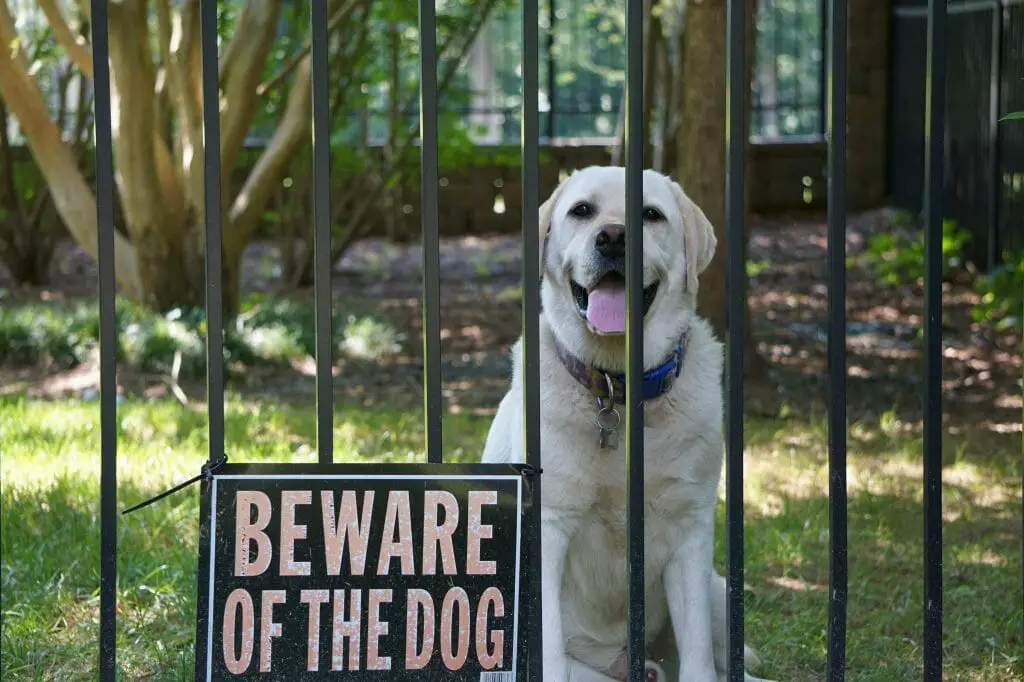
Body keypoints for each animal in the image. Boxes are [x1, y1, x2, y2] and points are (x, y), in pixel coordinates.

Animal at [483, 165, 770, 679]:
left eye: (651, 214)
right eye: (581, 211)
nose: (613, 236)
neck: (617, 391)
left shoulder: (689, 528)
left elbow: (698, 653)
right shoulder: (548, 525)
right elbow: (549, 652)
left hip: (717, 590)